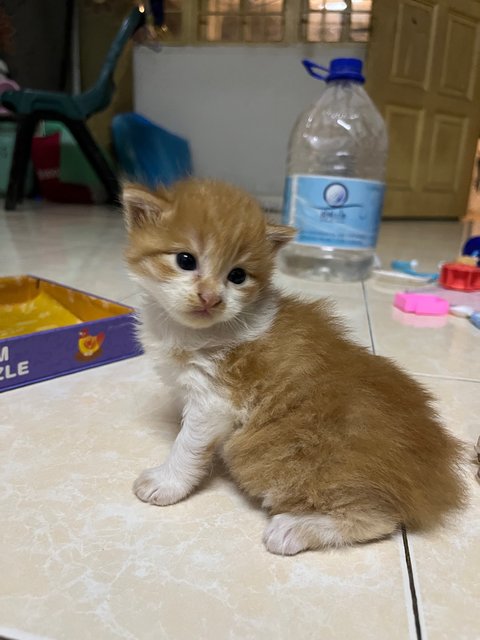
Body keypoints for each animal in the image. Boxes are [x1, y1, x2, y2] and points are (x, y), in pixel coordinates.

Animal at [122, 179, 466, 556]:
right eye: (185, 260)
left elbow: (188, 444)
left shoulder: (214, 400)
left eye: (237, 276)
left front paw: (167, 481)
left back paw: (295, 528)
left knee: (379, 519)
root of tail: (433, 478)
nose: (210, 298)